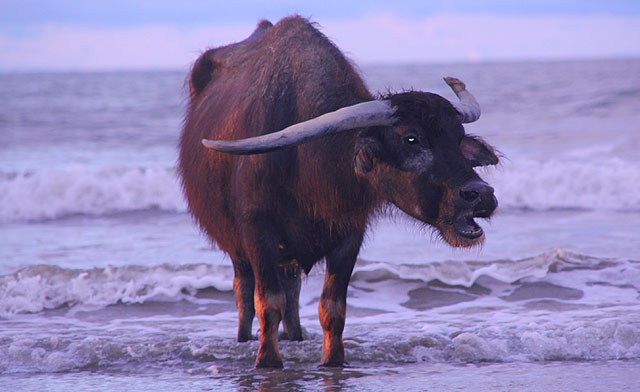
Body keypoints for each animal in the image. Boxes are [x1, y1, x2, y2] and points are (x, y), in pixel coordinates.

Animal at [180, 16, 500, 370]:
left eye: (457, 138)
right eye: (412, 138)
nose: (481, 194)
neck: (308, 166)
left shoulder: (349, 233)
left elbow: (332, 308)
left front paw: (333, 361)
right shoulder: (256, 231)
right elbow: (267, 302)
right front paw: (267, 361)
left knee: (292, 291)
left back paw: (295, 337)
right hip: (235, 246)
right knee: (244, 290)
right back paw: (244, 339)